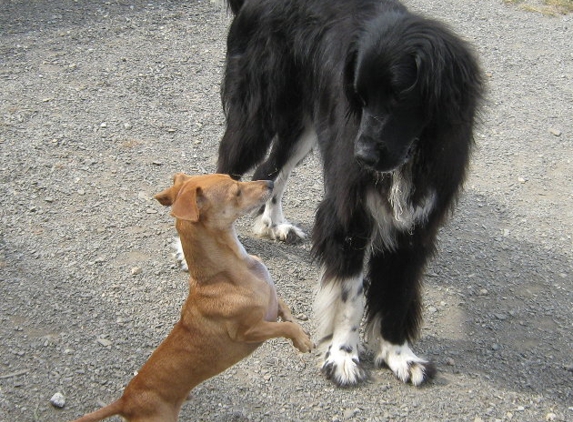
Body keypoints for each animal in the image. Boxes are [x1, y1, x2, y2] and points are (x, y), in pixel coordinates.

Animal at [72, 173, 312, 420]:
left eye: (235, 178)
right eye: (236, 191)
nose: (271, 183)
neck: (231, 272)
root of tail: (125, 401)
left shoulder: (273, 303)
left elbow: (286, 311)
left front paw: (301, 333)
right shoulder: (249, 331)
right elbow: (285, 327)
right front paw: (302, 340)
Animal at [216, 0, 482, 386]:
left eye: (400, 93)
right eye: (360, 96)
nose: (363, 156)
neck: (411, 154)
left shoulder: (415, 225)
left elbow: (398, 293)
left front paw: (399, 355)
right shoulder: (349, 215)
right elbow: (350, 295)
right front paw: (342, 356)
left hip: (302, 124)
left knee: (272, 171)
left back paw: (274, 224)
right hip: (257, 113)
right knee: (224, 168)